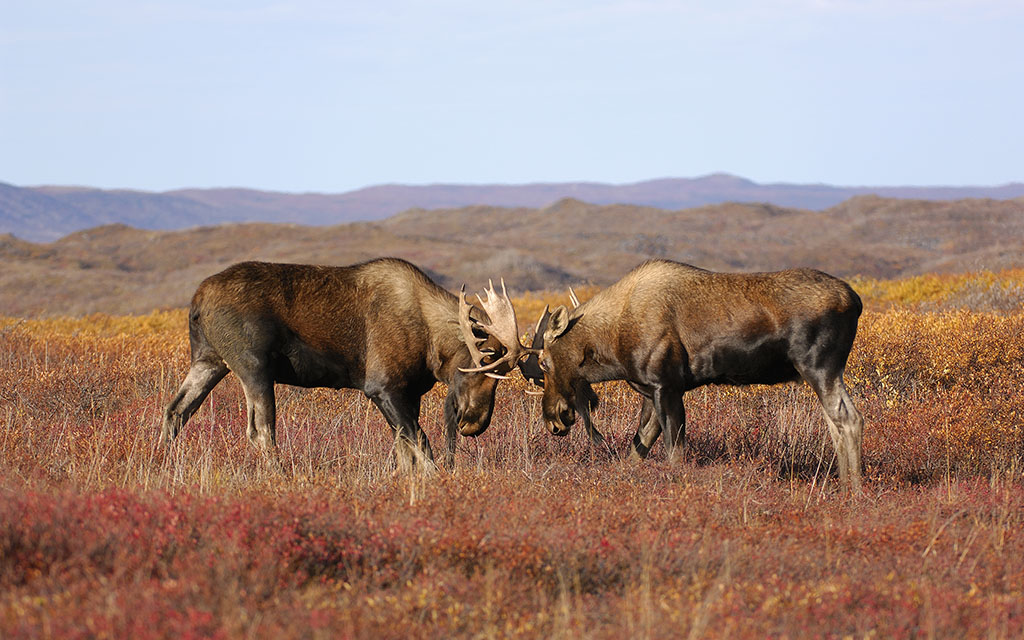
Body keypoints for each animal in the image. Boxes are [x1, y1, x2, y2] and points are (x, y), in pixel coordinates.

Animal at [163, 258, 528, 468]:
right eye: (485, 364)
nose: (474, 424)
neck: (431, 341)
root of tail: (197, 302)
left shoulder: (409, 394)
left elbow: (405, 450)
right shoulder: (382, 387)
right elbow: (421, 446)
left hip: (209, 361)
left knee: (176, 410)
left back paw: (160, 460)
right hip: (253, 366)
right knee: (261, 429)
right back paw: (279, 474)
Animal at [520, 257, 864, 491]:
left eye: (545, 363)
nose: (553, 420)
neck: (612, 345)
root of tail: (856, 300)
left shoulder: (666, 385)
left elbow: (674, 452)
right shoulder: (653, 390)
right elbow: (638, 447)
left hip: (819, 366)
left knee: (849, 418)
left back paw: (855, 490)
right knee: (835, 423)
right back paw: (842, 483)